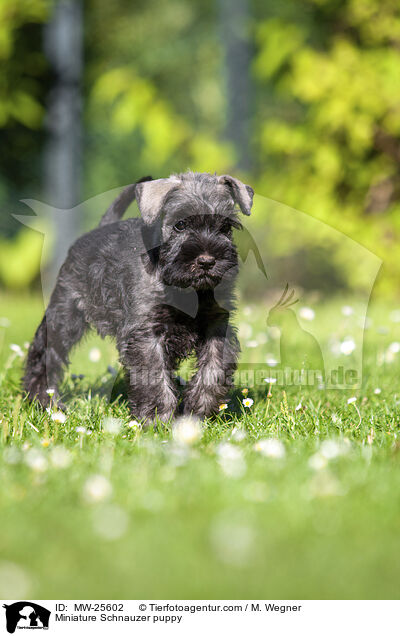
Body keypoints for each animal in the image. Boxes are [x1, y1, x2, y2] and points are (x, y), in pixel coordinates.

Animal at [23, 171, 253, 424]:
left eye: (225, 227)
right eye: (180, 224)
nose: (207, 261)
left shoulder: (216, 325)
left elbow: (213, 369)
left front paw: (198, 410)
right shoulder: (146, 333)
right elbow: (153, 376)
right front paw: (157, 418)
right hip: (64, 316)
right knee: (44, 354)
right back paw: (43, 400)